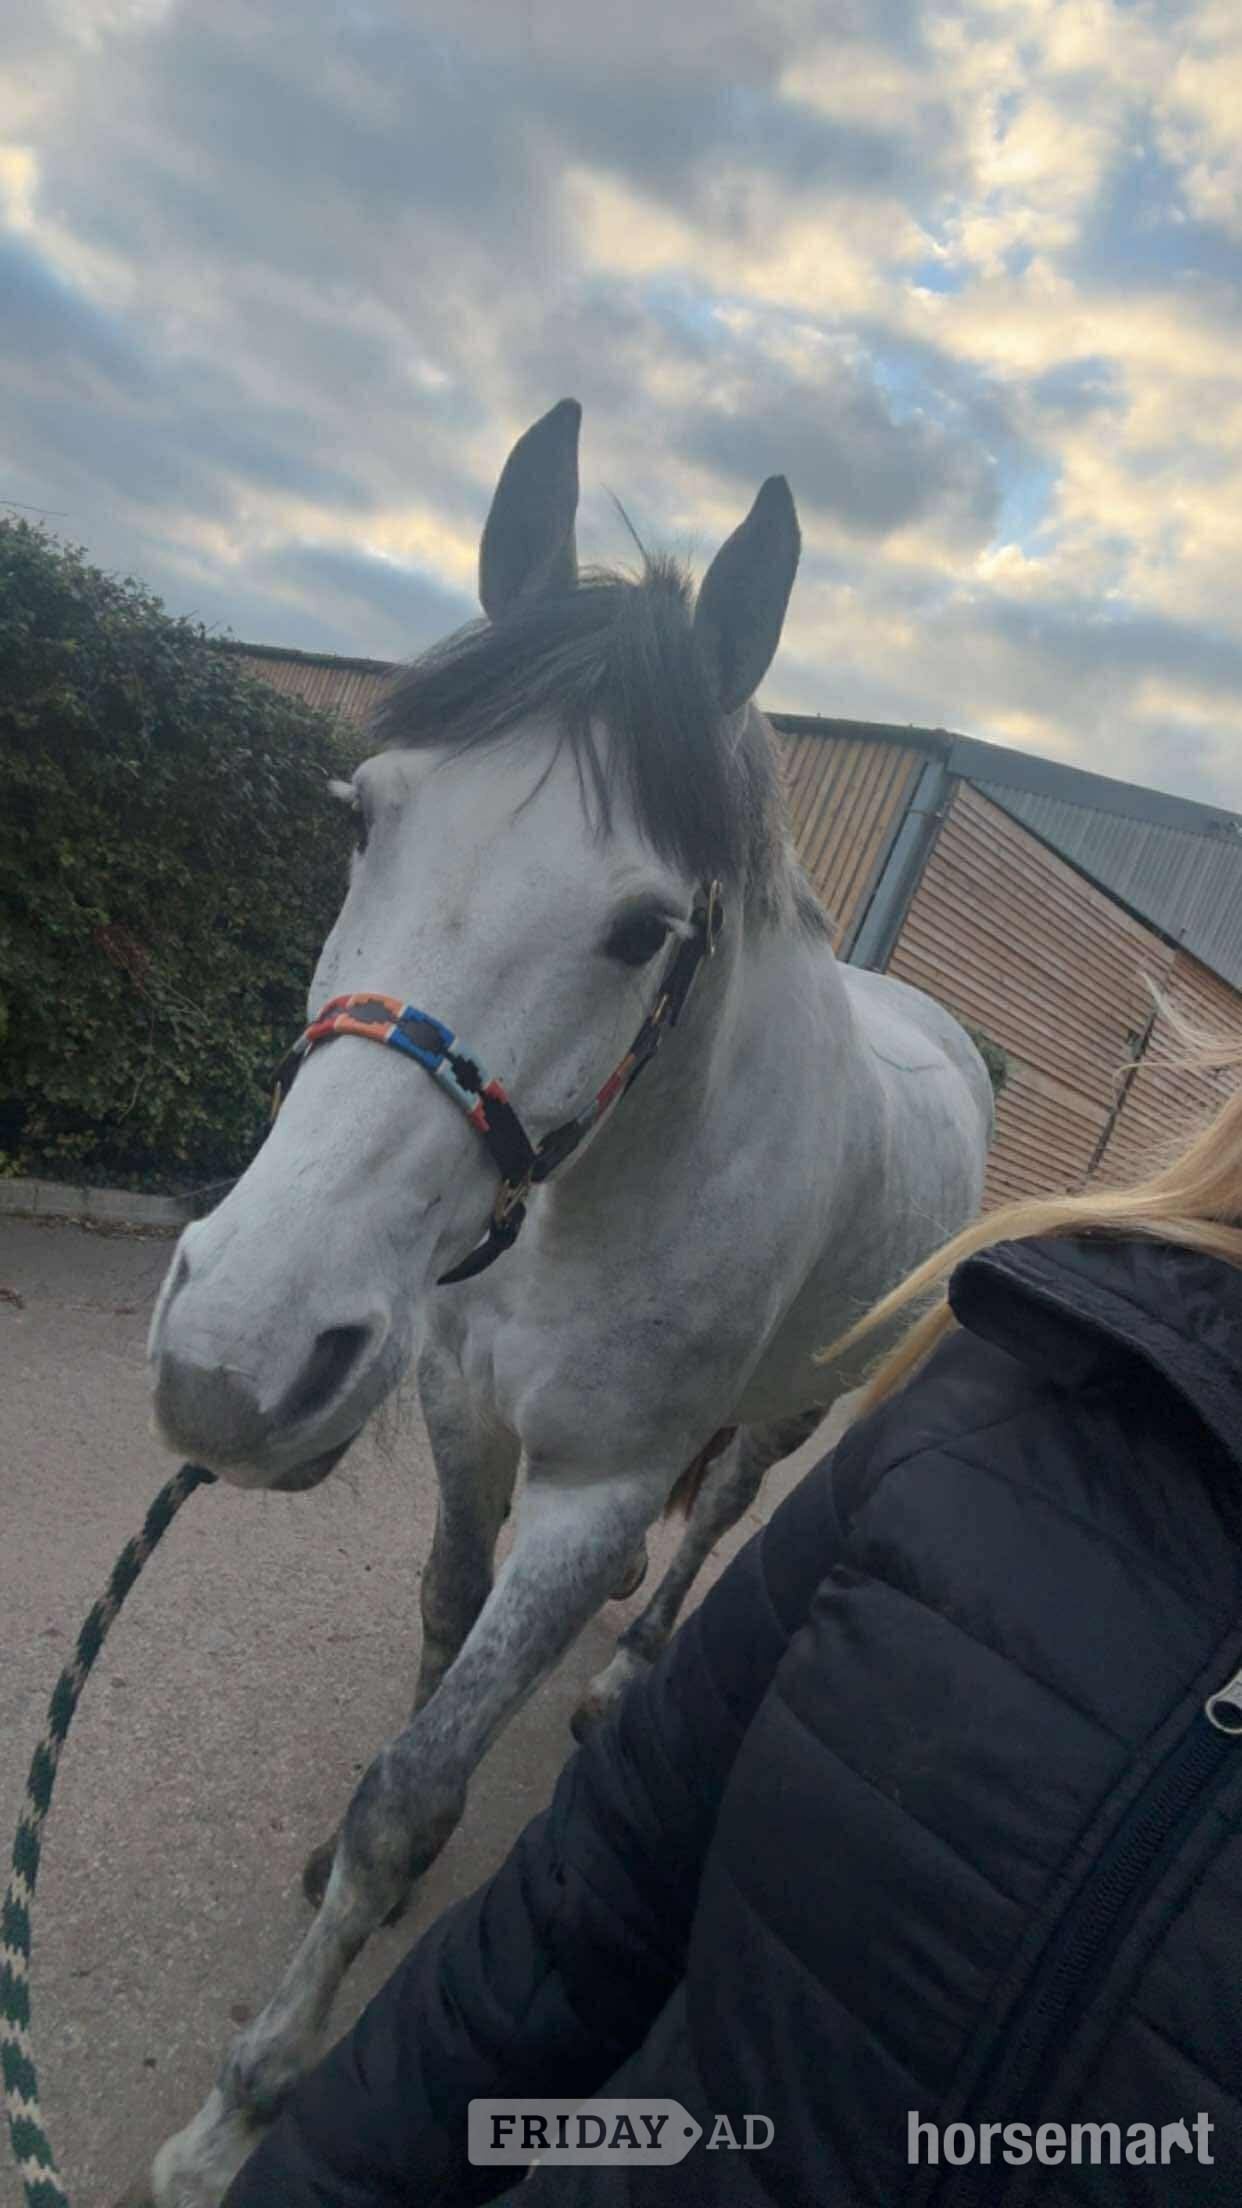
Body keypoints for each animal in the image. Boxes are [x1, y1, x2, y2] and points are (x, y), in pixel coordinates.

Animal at [139, 398, 993, 2204]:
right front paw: (351, 1871)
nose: (235, 1360)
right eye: (362, 815)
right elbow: (441, 1631)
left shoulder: (596, 1493)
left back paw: (624, 1675)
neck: (602, 1191)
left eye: (641, 926)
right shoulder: (459, 1413)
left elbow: (420, 1779)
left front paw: (238, 2107)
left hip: (803, 1398)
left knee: (728, 1505)